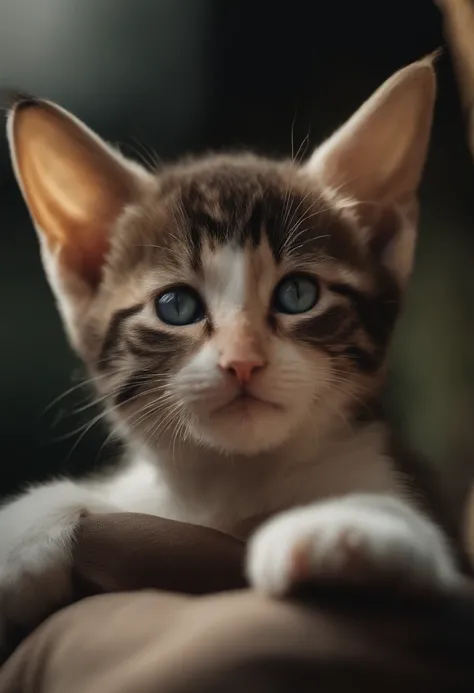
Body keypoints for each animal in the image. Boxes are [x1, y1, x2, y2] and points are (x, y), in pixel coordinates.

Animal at [0, 56, 466, 640]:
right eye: (176, 305)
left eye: (298, 294)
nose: (243, 361)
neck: (232, 483)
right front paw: (21, 535)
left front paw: (339, 523)